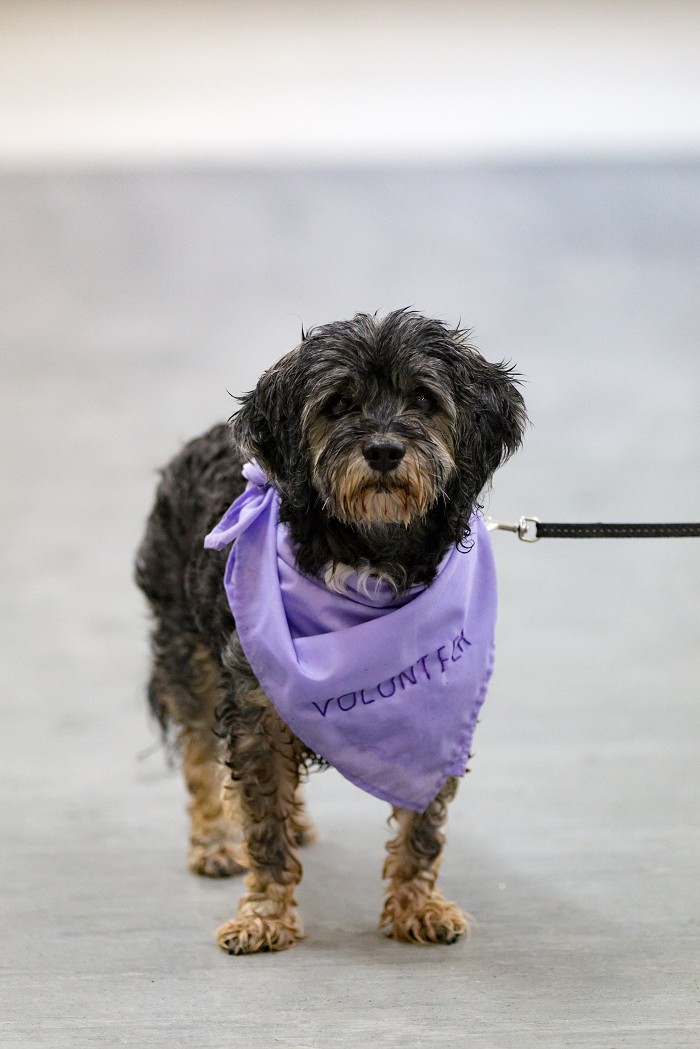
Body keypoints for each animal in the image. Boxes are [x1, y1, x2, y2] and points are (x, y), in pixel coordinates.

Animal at [135, 306, 524, 956]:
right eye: (339, 404)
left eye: (424, 399)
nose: (385, 450)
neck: (372, 556)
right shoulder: (255, 705)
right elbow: (262, 822)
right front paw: (264, 915)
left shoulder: (438, 715)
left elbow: (422, 827)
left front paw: (418, 906)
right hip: (186, 654)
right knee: (197, 755)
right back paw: (214, 844)